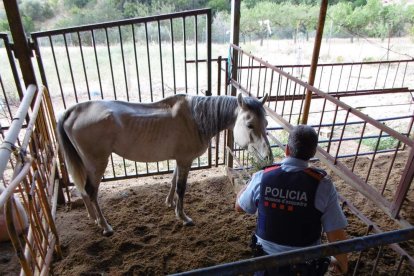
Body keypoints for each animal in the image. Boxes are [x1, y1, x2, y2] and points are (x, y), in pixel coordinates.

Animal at [57, 93, 272, 235]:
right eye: (249, 124)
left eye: (266, 124)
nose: (268, 157)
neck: (196, 119)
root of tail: (72, 111)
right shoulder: (185, 160)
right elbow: (181, 187)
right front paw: (183, 217)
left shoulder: (179, 159)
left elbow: (173, 180)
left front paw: (170, 203)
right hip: (97, 163)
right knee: (91, 191)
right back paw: (105, 226)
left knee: (84, 191)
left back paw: (93, 218)